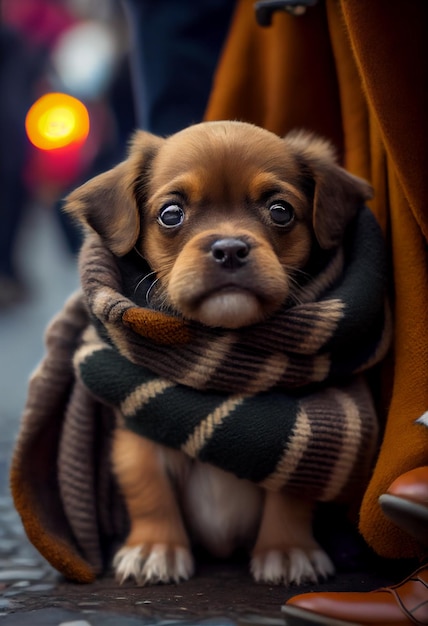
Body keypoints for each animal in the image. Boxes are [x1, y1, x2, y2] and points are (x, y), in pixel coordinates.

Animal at [65, 120, 372, 584]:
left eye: (280, 211)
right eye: (171, 214)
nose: (229, 249)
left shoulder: (304, 446)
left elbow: (290, 497)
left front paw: (287, 549)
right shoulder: (139, 432)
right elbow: (148, 489)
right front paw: (154, 548)